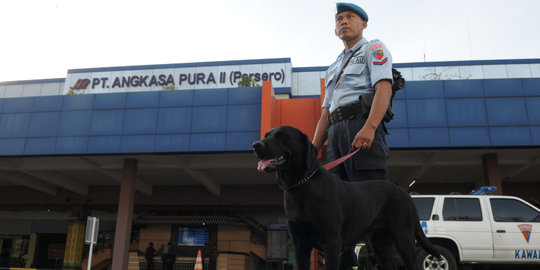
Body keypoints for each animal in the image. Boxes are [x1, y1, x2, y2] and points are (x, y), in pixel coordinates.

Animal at [253, 126, 438, 270]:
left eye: (282, 136)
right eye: (266, 135)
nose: (256, 145)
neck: (301, 186)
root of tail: (406, 194)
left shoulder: (332, 244)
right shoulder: (300, 245)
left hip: (404, 239)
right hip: (380, 245)